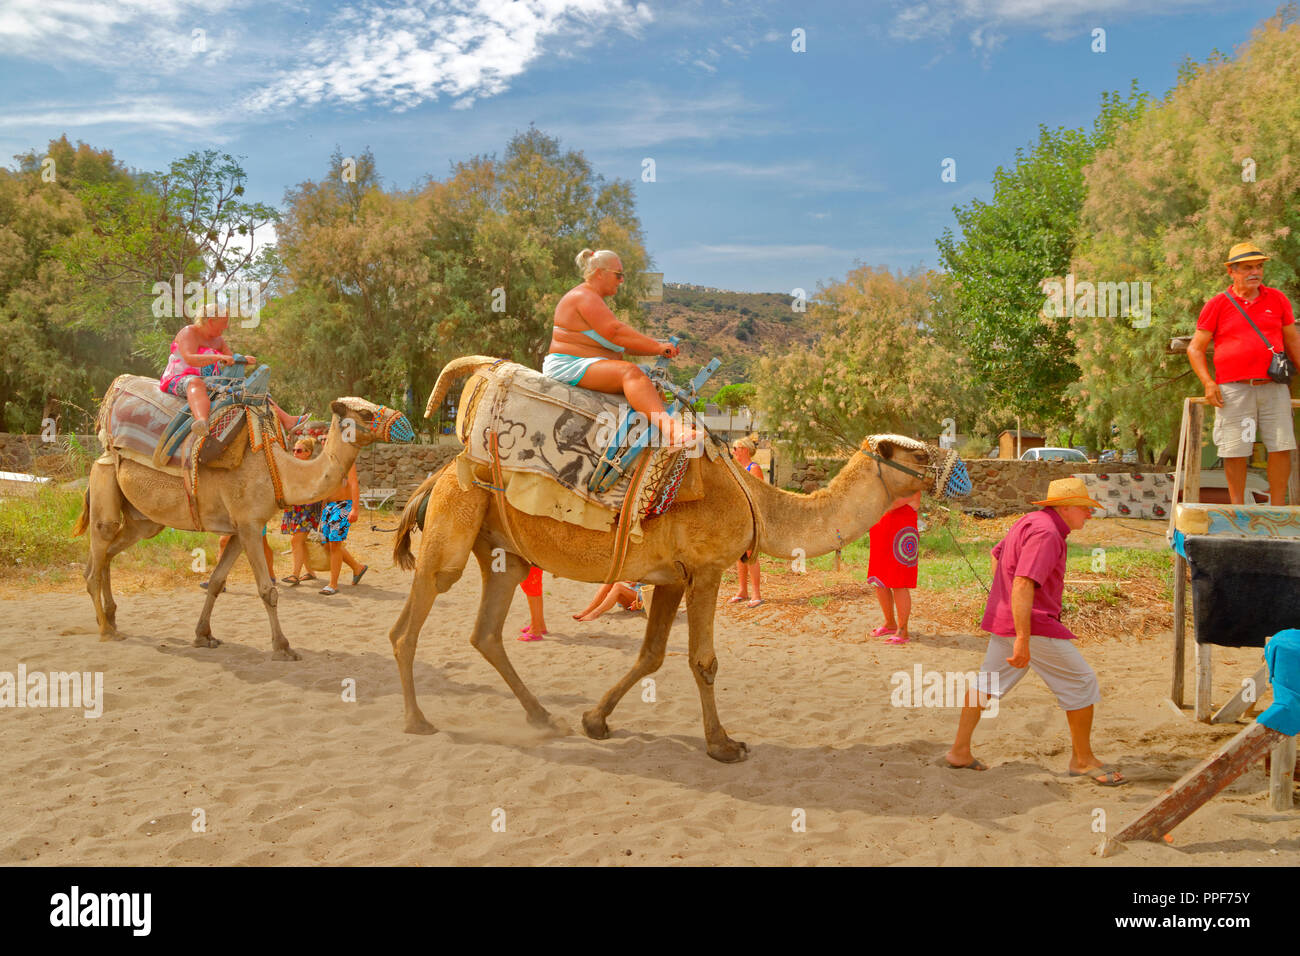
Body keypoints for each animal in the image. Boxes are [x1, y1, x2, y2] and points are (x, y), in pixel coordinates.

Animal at [73, 392, 408, 660]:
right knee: (96, 557)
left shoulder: (239, 530)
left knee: (108, 554)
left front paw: (203, 636)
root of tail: (101, 455)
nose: (403, 423)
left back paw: (111, 619)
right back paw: (106, 630)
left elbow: (216, 582)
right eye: (365, 413)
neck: (281, 472)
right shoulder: (248, 524)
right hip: (105, 485)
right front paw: (283, 647)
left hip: (143, 521)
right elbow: (268, 590)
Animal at [384, 356, 967, 764]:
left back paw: (543, 717)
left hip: (504, 550)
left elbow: (651, 656)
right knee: (408, 624)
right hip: (454, 525)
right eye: (917, 452)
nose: (959, 470)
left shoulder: (667, 577)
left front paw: (595, 720)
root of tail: (440, 473)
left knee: (484, 632)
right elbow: (702, 661)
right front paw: (724, 745)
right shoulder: (707, 570)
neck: (754, 498)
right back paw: (416, 721)